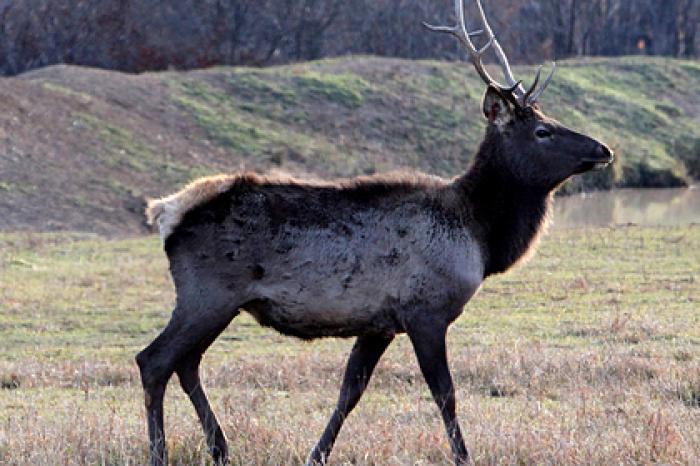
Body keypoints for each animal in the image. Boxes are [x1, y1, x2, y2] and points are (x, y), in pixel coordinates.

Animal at [137, 0, 612, 462]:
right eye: (543, 130)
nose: (604, 149)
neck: (479, 235)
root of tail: (166, 212)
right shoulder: (425, 310)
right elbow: (445, 395)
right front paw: (463, 456)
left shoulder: (378, 322)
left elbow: (350, 391)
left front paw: (317, 454)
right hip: (208, 293)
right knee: (154, 360)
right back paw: (161, 452)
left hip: (217, 301)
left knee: (187, 364)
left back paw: (220, 447)